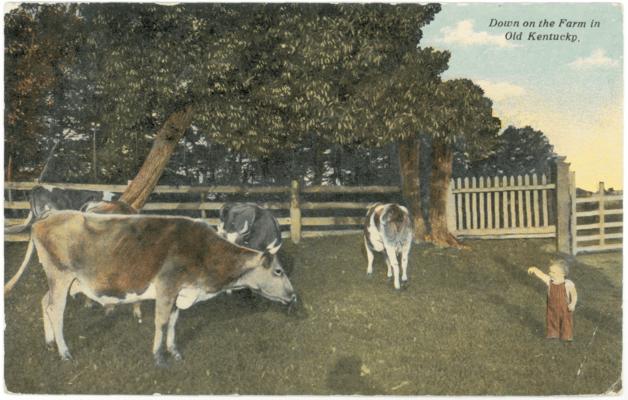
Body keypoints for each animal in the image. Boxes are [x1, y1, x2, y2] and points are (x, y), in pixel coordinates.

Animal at [20, 212, 296, 366]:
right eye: (278, 271)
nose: (293, 296)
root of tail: (47, 216)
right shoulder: (166, 286)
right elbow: (161, 322)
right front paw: (158, 357)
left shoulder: (180, 292)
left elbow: (173, 322)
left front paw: (174, 352)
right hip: (60, 275)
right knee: (56, 310)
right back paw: (65, 353)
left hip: (63, 281)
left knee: (44, 302)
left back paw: (49, 343)